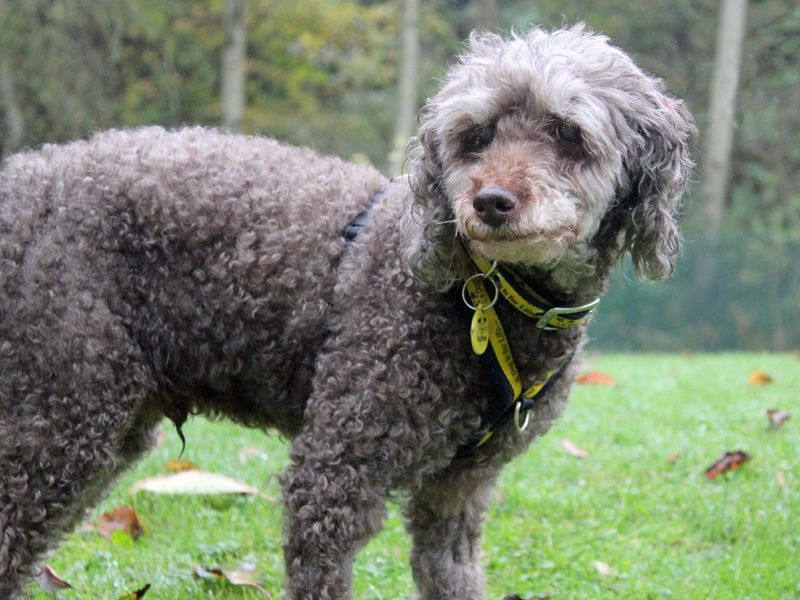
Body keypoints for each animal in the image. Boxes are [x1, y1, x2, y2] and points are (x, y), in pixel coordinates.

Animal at [0, 24, 692, 600]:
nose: (491, 201)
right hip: (65, 410)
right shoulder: (337, 469)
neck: (487, 293)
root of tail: (27, 176)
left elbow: (451, 572)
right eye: (475, 136)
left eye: (566, 134)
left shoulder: (457, 492)